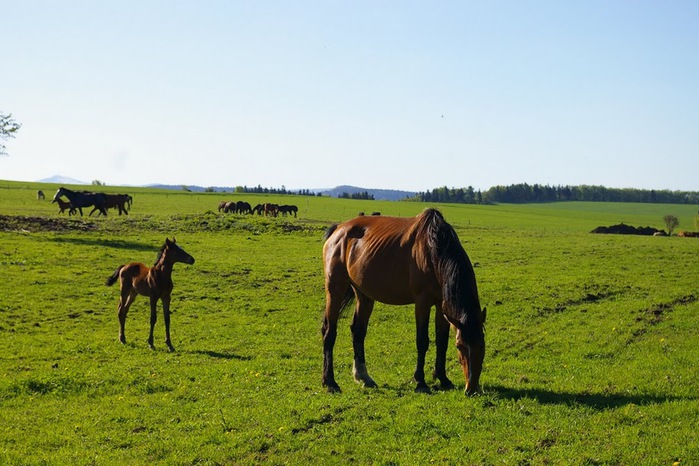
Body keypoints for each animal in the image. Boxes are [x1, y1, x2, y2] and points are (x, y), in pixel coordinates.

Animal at [322, 209, 486, 396]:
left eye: (482, 345)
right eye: (460, 346)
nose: (471, 388)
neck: (434, 249)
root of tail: (338, 230)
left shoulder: (441, 305)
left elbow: (442, 341)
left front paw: (443, 379)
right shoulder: (422, 302)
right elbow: (422, 341)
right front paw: (420, 382)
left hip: (364, 295)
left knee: (358, 331)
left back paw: (363, 377)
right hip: (335, 289)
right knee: (329, 332)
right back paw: (330, 382)